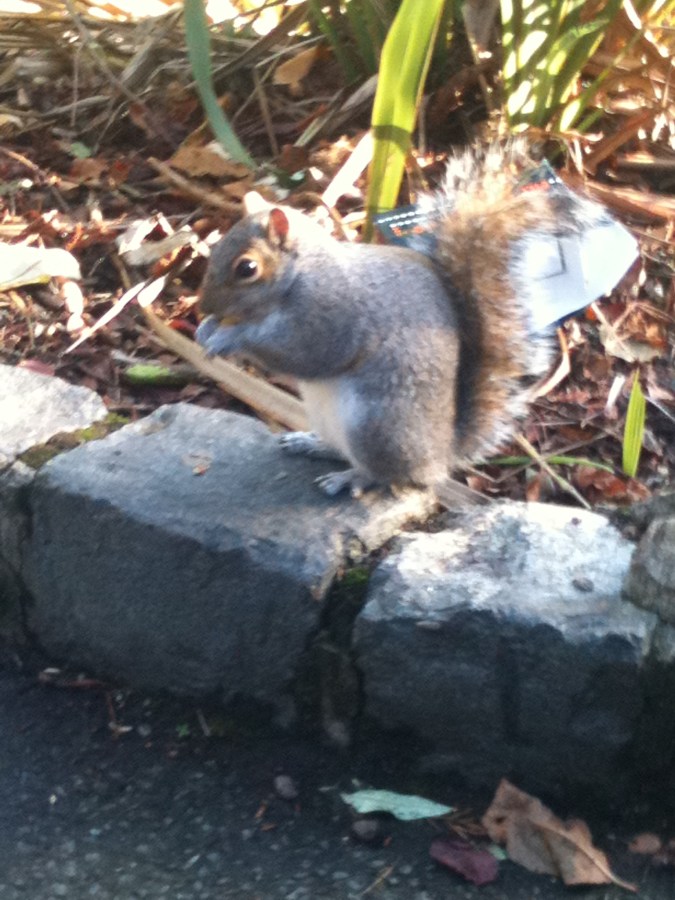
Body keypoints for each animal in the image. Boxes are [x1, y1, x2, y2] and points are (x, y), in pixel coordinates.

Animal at [195, 144, 629, 504]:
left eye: (247, 268)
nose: (203, 305)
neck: (302, 272)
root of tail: (441, 457)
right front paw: (206, 329)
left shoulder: (330, 312)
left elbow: (305, 352)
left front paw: (230, 337)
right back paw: (312, 444)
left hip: (378, 428)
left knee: (387, 474)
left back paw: (351, 478)